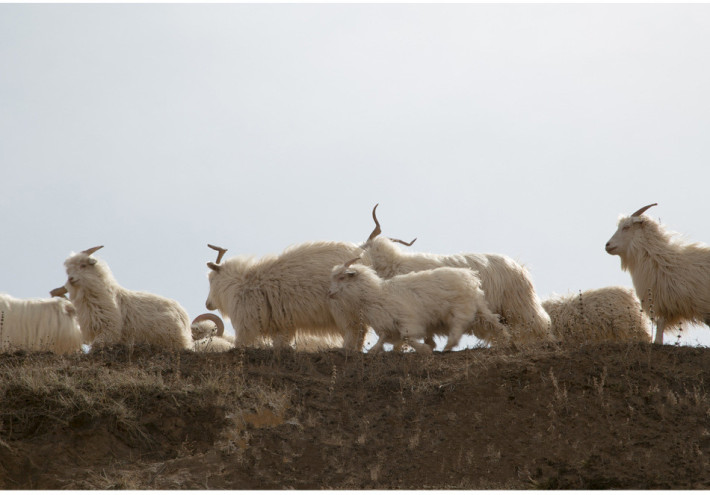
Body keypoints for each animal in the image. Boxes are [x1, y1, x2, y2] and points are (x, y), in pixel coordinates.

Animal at [328, 260, 512, 352]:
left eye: (342, 277)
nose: (329, 293)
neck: (375, 294)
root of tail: (469, 276)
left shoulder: (406, 320)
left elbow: (407, 337)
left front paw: (426, 349)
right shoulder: (386, 325)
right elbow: (383, 340)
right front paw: (374, 351)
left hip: (459, 307)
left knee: (459, 325)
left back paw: (449, 345)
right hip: (477, 307)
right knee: (492, 321)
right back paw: (506, 339)